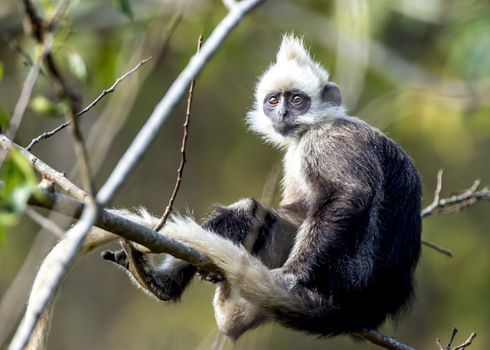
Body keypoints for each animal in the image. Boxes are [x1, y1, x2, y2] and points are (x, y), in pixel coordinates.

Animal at [102, 34, 422, 340]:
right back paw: (162, 283)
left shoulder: (327, 143)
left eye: (297, 100)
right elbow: (295, 211)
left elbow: (349, 195)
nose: (281, 113)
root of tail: (360, 311)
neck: (315, 126)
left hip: (343, 274)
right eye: (273, 101)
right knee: (251, 212)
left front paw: (293, 274)